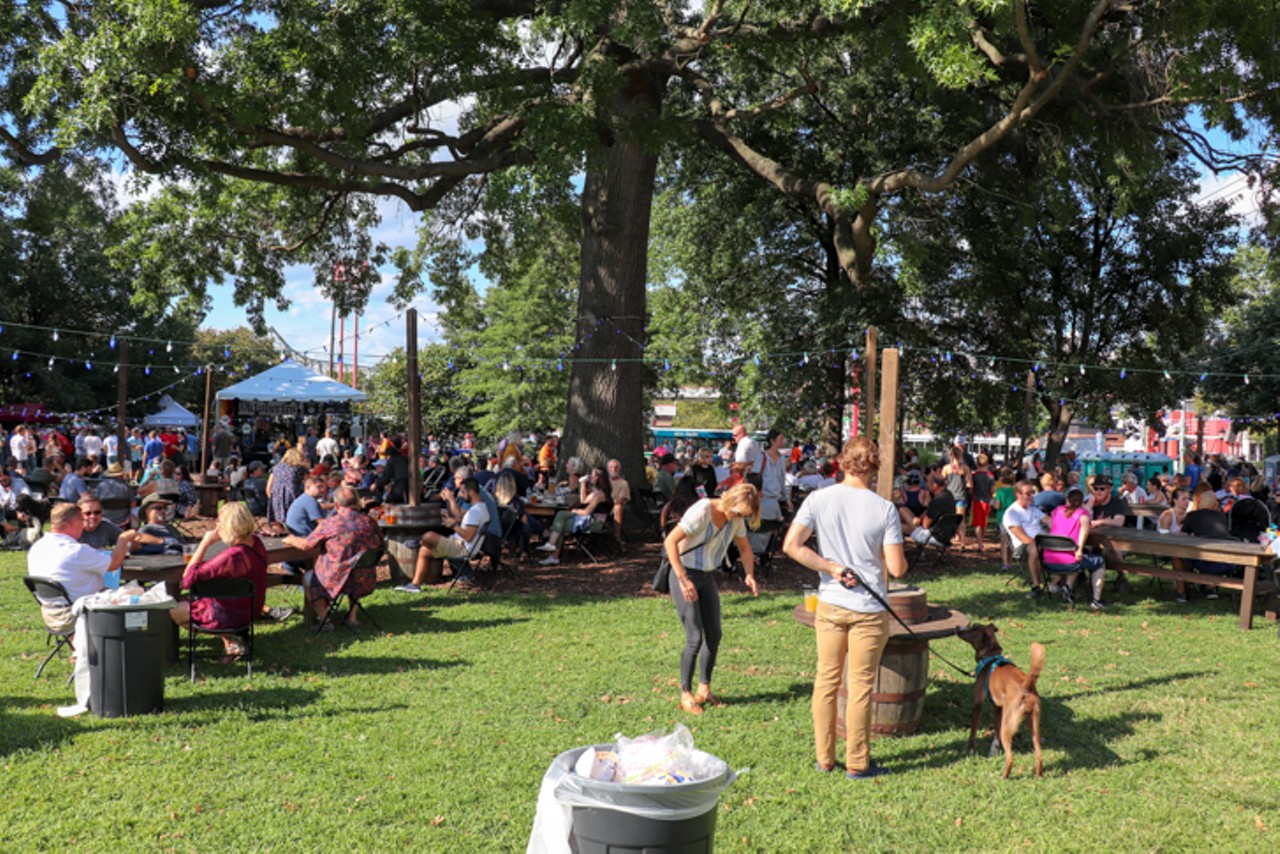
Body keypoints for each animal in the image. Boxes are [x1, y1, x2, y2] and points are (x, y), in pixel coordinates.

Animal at [957, 624, 1044, 778]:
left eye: (973, 628)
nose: (957, 627)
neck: (990, 656)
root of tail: (1026, 685)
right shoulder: (998, 708)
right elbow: (996, 734)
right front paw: (992, 752)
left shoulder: (978, 704)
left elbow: (973, 731)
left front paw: (971, 751)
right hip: (1034, 727)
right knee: (1039, 756)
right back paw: (1038, 776)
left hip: (1008, 727)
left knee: (1010, 758)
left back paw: (1003, 776)